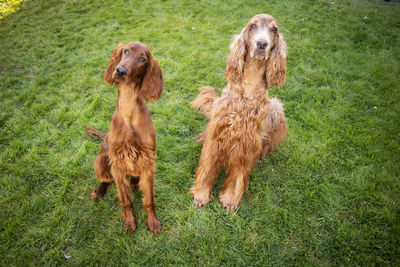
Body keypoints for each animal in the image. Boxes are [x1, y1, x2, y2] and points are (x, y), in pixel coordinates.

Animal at [83, 42, 163, 234]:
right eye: (126, 51)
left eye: (142, 59)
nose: (120, 70)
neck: (129, 113)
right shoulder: (117, 163)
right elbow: (126, 200)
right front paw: (130, 222)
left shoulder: (148, 162)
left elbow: (149, 199)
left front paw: (153, 222)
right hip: (101, 162)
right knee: (106, 180)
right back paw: (98, 191)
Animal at [190, 14, 288, 211]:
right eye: (253, 26)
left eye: (274, 29)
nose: (261, 44)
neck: (247, 91)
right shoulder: (217, 135)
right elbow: (207, 167)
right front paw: (201, 195)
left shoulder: (247, 142)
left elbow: (238, 175)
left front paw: (229, 199)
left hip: (276, 108)